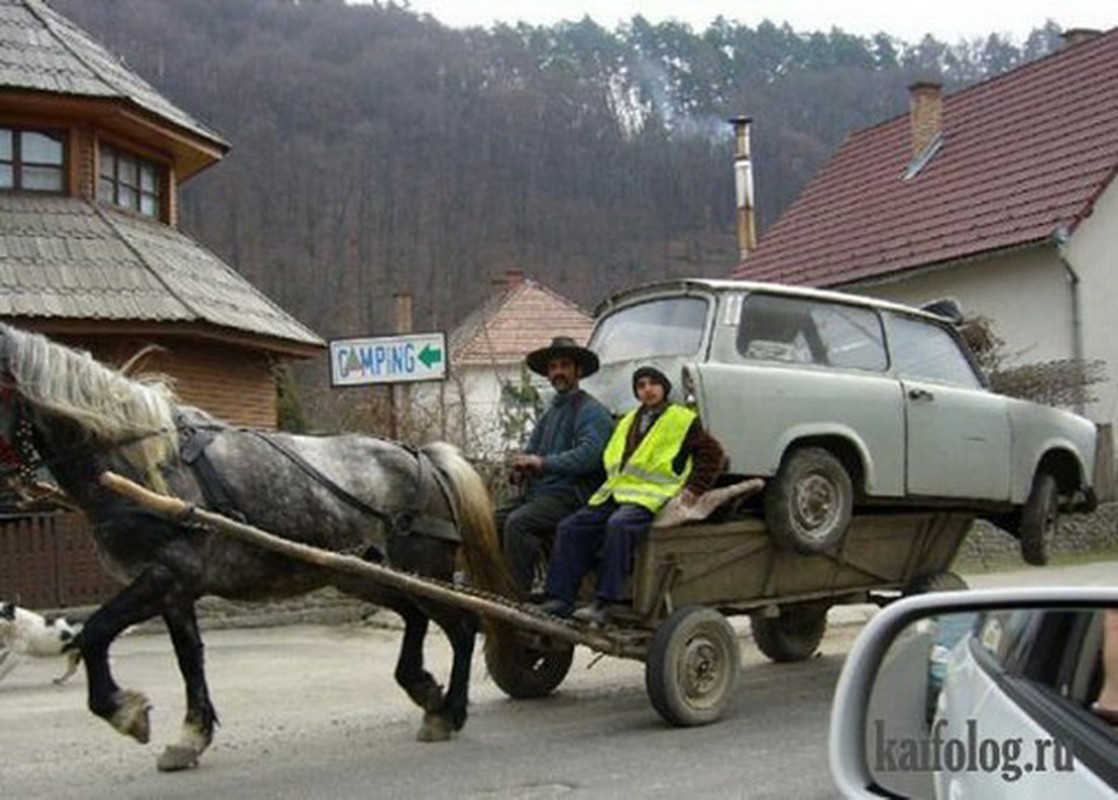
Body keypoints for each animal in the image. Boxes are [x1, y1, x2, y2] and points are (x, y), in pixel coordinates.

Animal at [0, 321, 514, 773]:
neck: (141, 467)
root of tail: (423, 456)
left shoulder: (164, 576)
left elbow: (93, 631)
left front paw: (123, 711)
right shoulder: (175, 592)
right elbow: (188, 660)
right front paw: (190, 738)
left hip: (423, 571)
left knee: (463, 627)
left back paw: (450, 711)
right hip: (363, 576)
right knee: (415, 617)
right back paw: (424, 691)